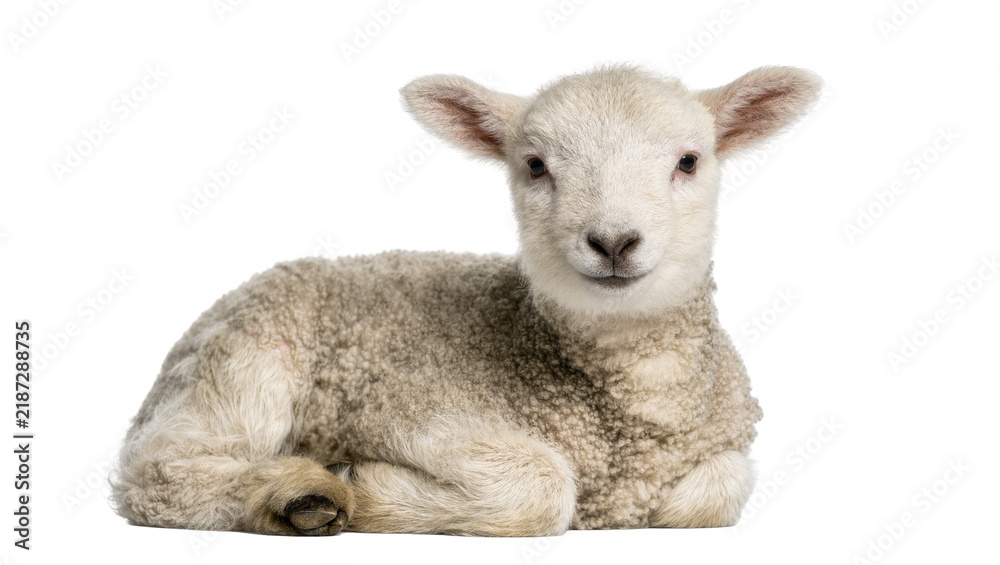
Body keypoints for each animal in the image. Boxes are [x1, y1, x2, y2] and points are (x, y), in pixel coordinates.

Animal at [111, 64, 821, 536]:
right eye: (534, 165)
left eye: (689, 161)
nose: (614, 241)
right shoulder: (411, 405)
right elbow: (541, 485)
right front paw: (369, 486)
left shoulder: (718, 448)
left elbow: (716, 493)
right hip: (248, 362)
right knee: (161, 474)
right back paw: (301, 494)